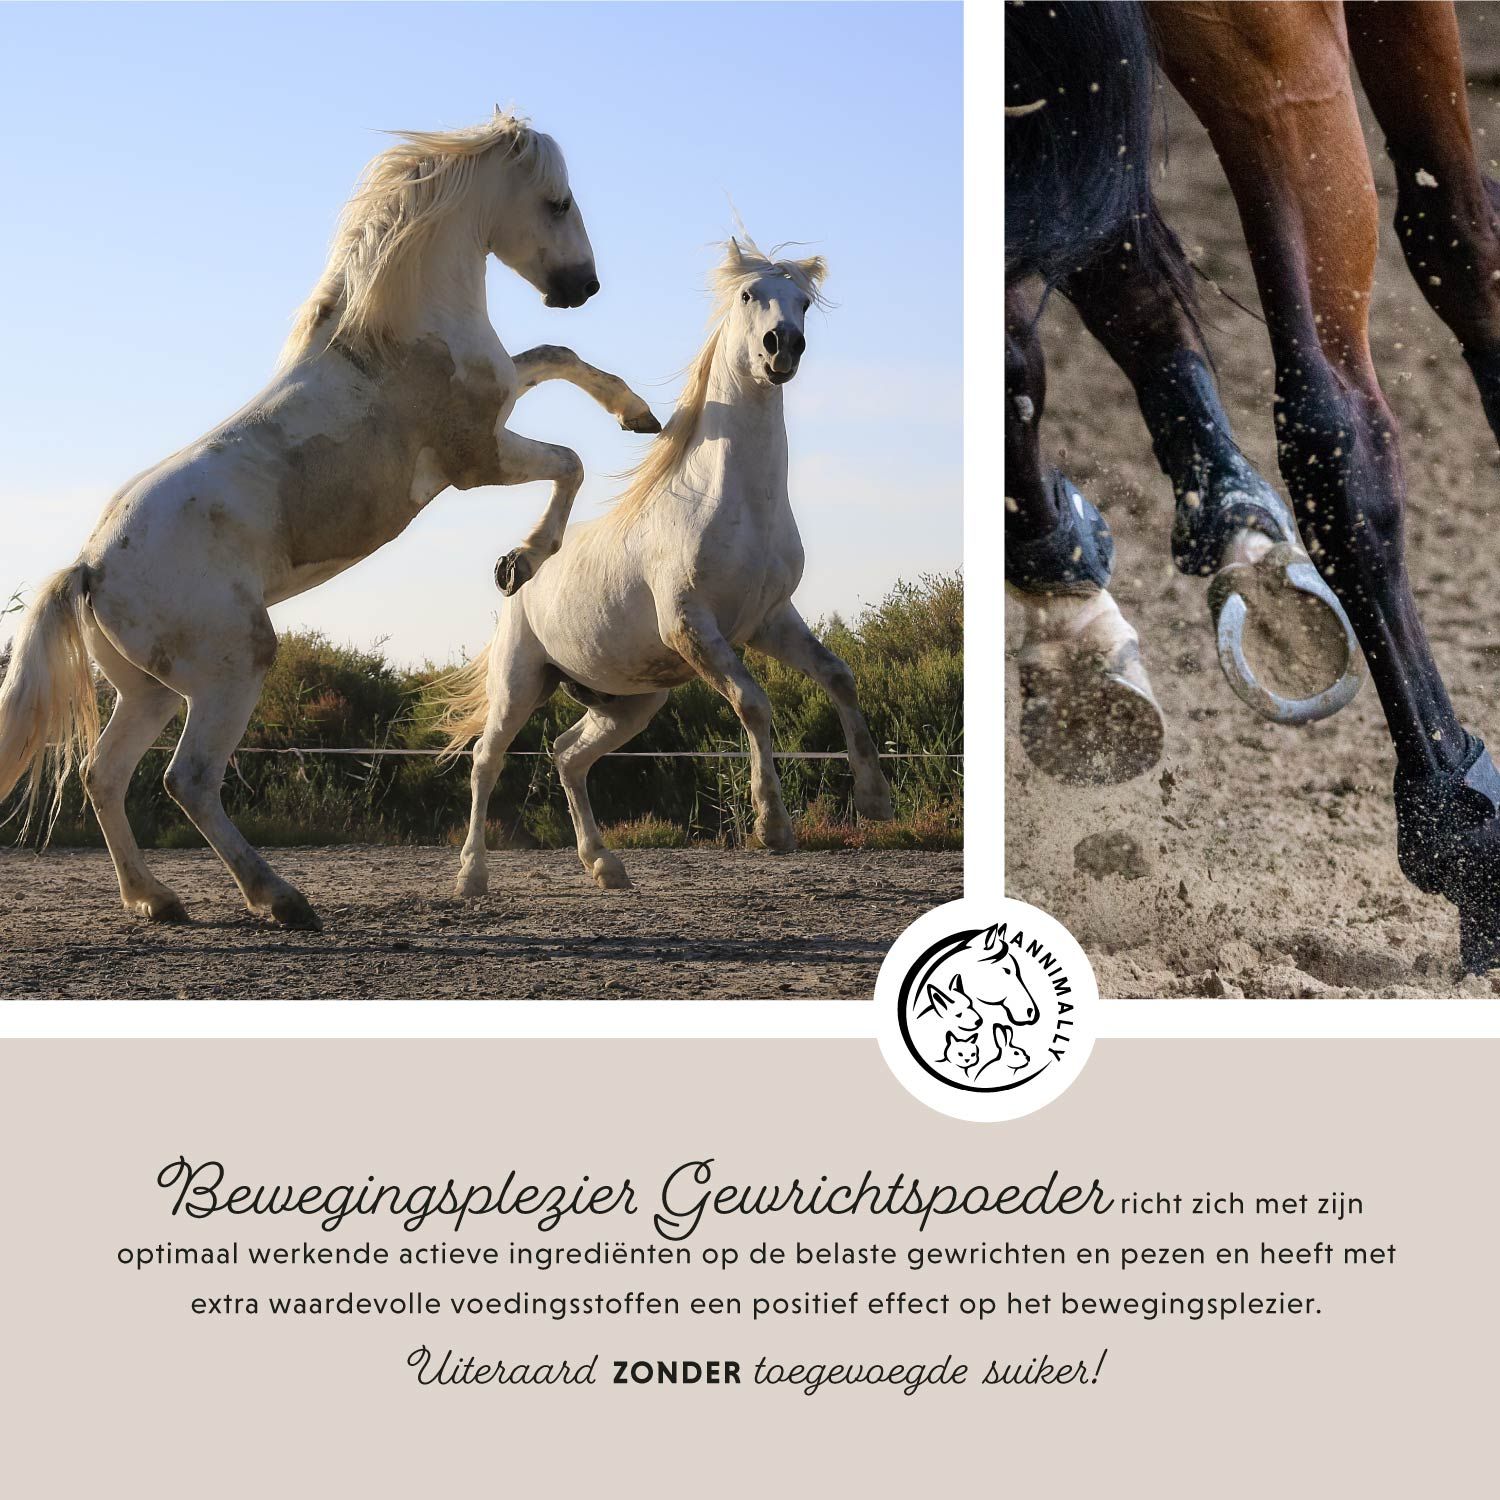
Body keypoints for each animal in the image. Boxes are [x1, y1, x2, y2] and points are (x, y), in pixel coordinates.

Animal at [0, 108, 659, 931]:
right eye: (558, 202)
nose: (583, 286)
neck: (396, 335)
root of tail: (89, 567)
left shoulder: (501, 402)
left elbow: (558, 357)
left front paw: (639, 415)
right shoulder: (476, 458)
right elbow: (568, 461)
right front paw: (522, 561)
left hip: (148, 689)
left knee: (104, 774)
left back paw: (157, 900)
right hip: (230, 667)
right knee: (188, 780)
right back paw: (281, 900)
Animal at [436, 237, 897, 896]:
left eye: (804, 303)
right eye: (749, 295)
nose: (783, 347)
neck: (736, 504)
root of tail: (518, 582)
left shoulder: (769, 621)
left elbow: (839, 676)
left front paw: (876, 800)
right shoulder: (692, 626)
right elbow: (754, 703)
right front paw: (773, 827)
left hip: (629, 702)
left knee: (567, 755)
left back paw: (605, 866)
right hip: (520, 682)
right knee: (486, 761)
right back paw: (472, 876)